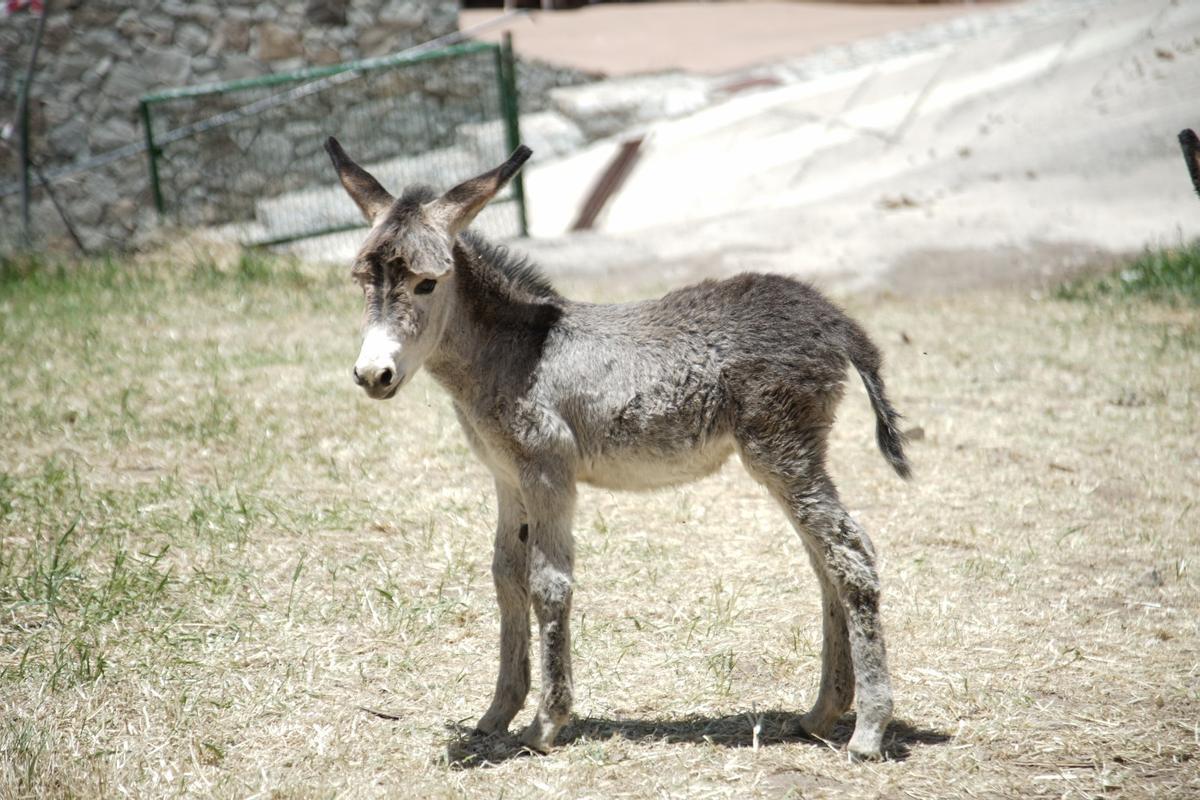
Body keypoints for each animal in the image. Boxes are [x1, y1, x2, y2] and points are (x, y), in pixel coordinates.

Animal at [328, 139, 907, 762]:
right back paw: (822, 714)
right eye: (363, 282)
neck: (516, 352)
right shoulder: (507, 477)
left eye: (426, 284)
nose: (374, 375)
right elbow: (506, 577)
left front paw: (545, 725)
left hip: (781, 450)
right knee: (826, 559)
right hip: (788, 457)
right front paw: (497, 714)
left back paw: (868, 729)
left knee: (850, 553)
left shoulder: (548, 473)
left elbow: (548, 585)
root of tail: (832, 318)